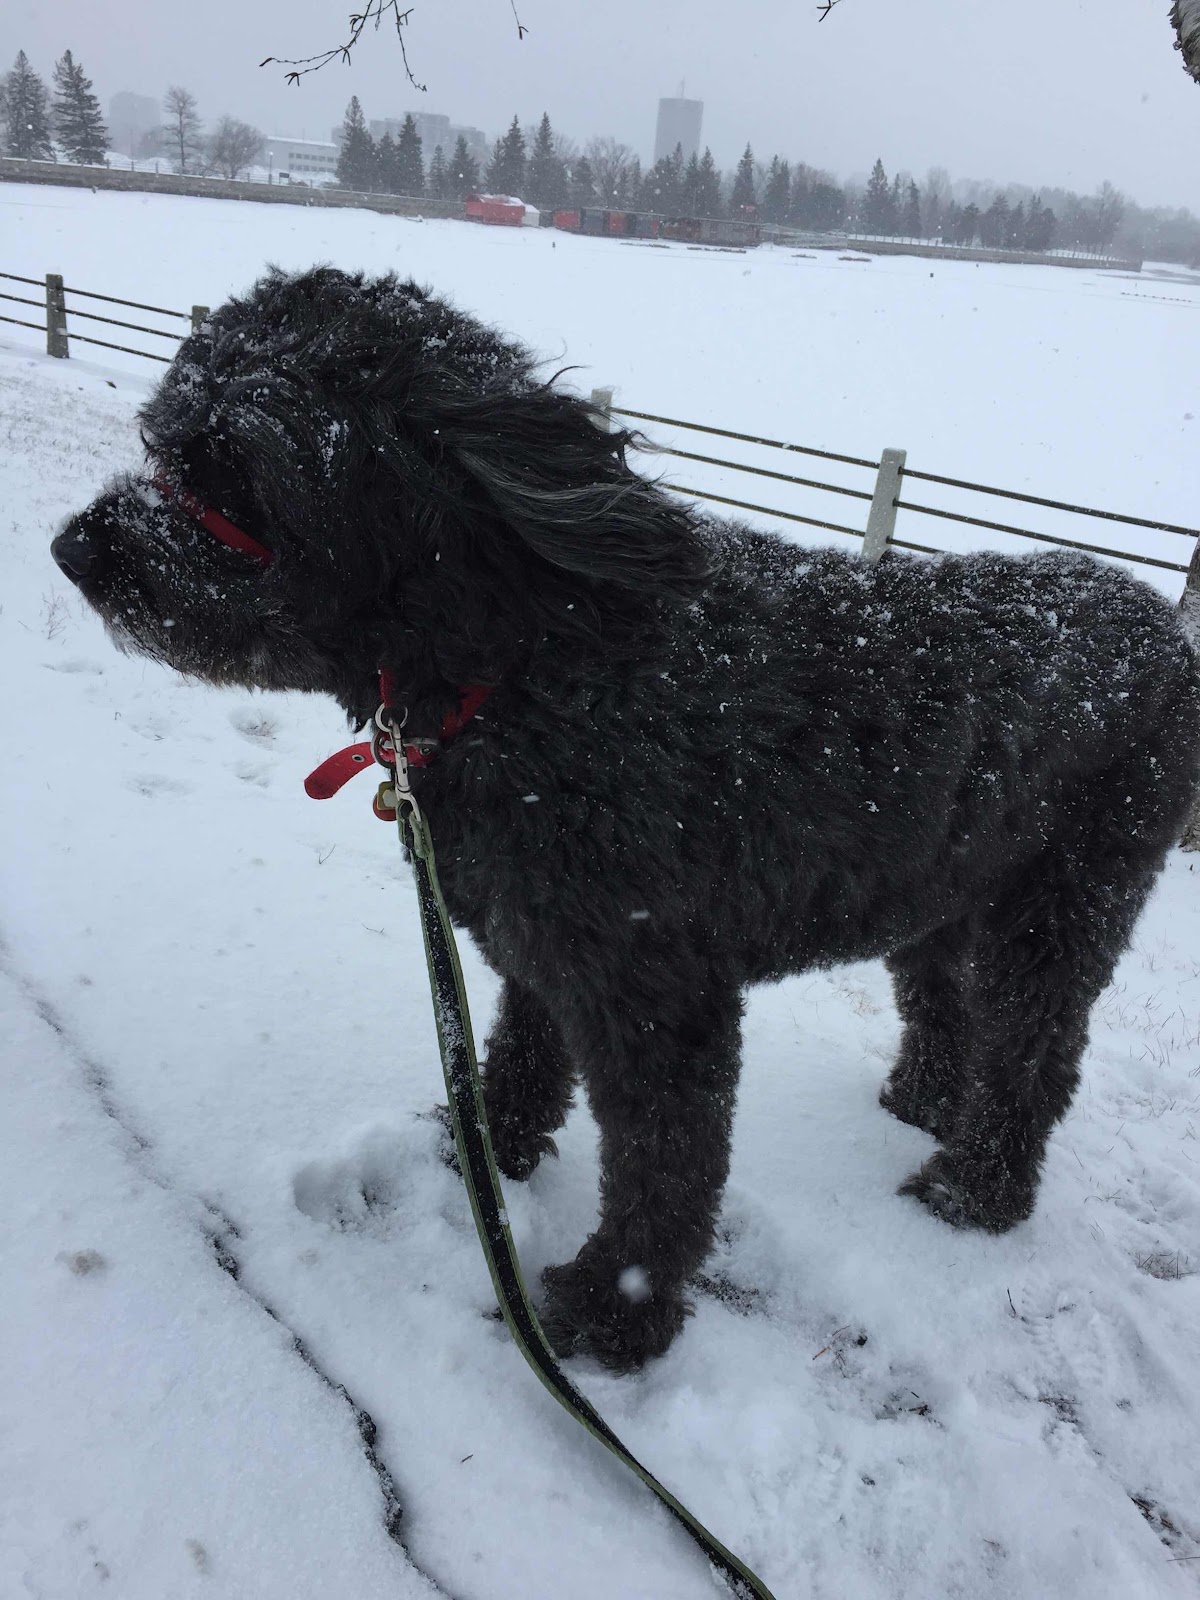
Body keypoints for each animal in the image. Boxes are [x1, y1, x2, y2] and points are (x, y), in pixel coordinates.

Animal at [53, 265, 1200, 1371]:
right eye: (164, 439)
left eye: (235, 474)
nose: (76, 548)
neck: (526, 664)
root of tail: (1162, 627)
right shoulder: (540, 946)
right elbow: (520, 1059)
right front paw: (483, 1157)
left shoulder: (660, 993)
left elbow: (665, 1167)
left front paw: (616, 1313)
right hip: (943, 887)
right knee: (945, 1002)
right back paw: (923, 1100)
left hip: (1068, 901)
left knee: (1037, 1052)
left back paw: (976, 1191)